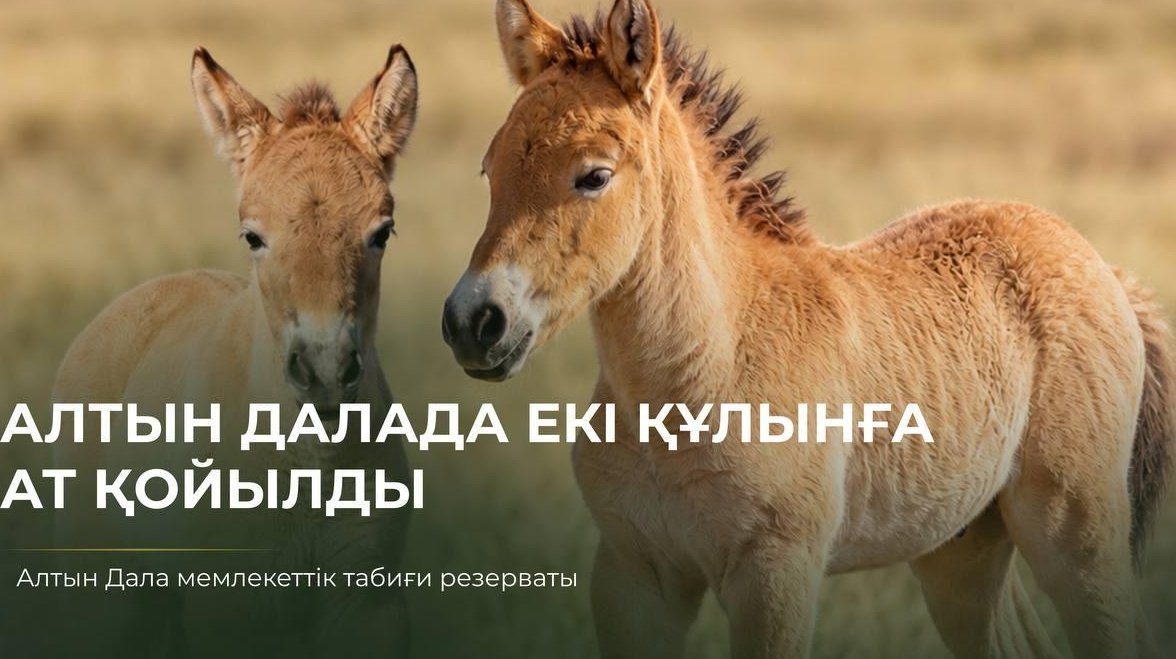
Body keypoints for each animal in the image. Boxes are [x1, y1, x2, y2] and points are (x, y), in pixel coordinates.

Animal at [50, 46, 418, 657]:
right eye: (253, 236)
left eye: (382, 232)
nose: (324, 372)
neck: (312, 467)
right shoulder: (230, 609)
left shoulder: (369, 605)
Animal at [441, 1, 1175, 657]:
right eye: (490, 168)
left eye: (594, 175)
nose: (474, 321)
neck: (700, 376)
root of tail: (1105, 270)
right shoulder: (633, 576)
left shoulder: (775, 575)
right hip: (960, 551)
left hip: (1076, 536)